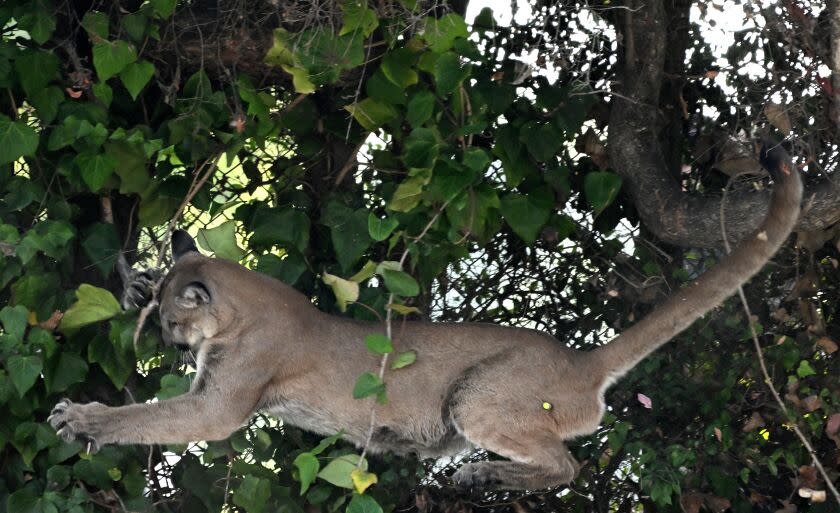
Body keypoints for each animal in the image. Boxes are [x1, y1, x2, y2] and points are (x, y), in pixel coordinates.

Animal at [50, 143, 800, 488]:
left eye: (176, 326)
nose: (169, 346)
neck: (243, 306)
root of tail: (582, 360)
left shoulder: (216, 403)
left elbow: (146, 417)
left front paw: (82, 418)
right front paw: (133, 279)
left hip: (477, 396)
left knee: (565, 465)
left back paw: (485, 475)